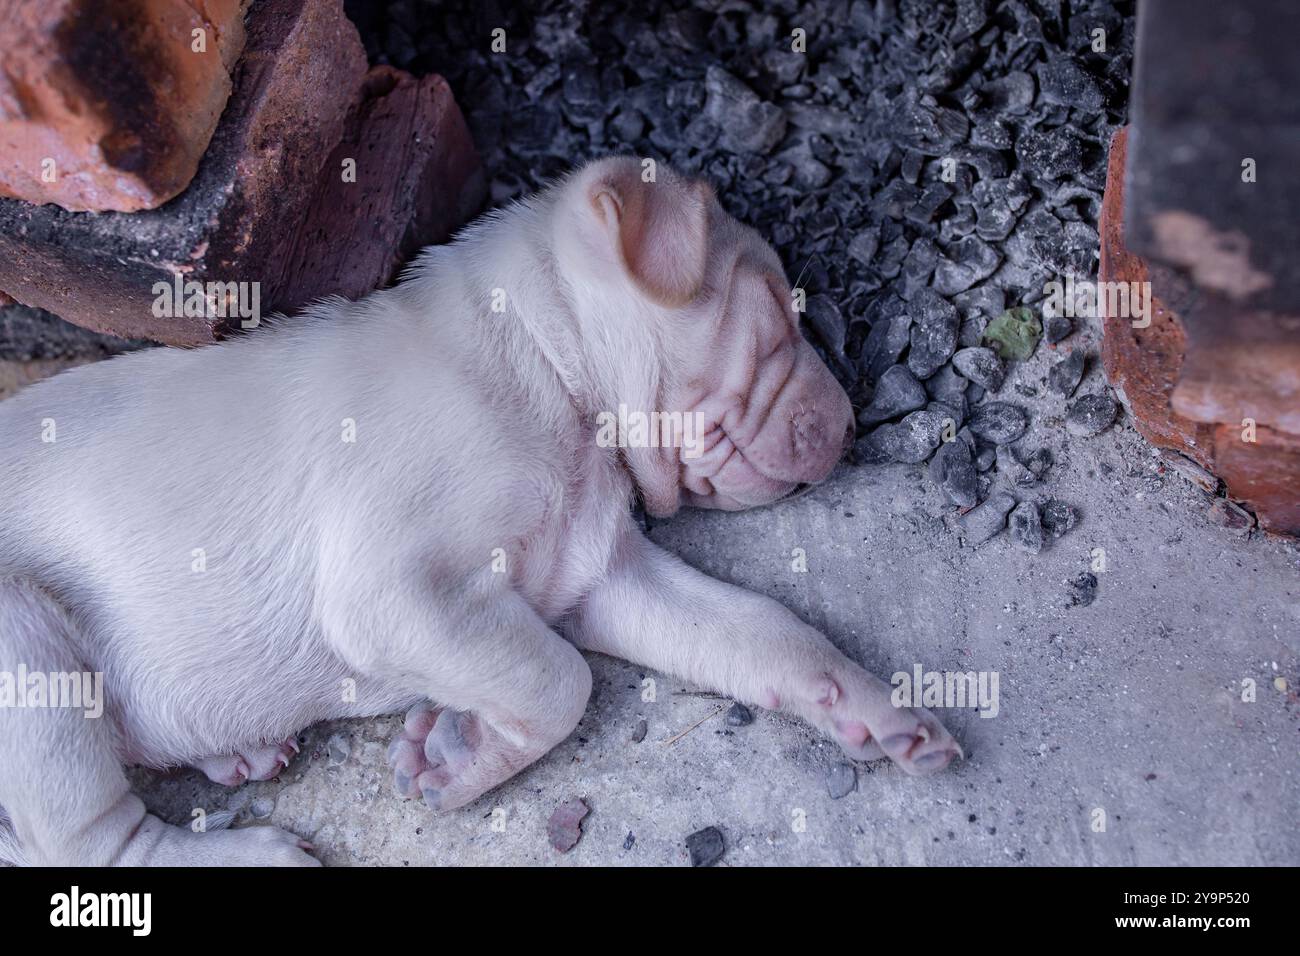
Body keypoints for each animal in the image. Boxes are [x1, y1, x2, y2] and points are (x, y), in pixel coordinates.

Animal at [0, 158, 956, 868]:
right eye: (772, 315)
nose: (850, 426)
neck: (544, 366)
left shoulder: (600, 574)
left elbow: (761, 628)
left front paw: (874, 709)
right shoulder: (391, 591)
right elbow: (560, 678)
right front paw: (461, 758)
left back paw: (234, 750)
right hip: (29, 656)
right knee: (80, 843)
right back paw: (246, 855)